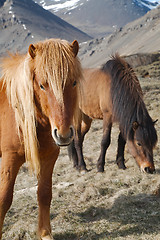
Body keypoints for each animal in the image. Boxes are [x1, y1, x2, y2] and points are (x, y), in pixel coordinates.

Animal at [0, 38, 82, 240]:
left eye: (74, 82)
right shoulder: (10, 159)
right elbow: (4, 198)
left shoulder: (49, 156)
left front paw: (44, 233)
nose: (64, 134)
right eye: (42, 85)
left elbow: (44, 193)